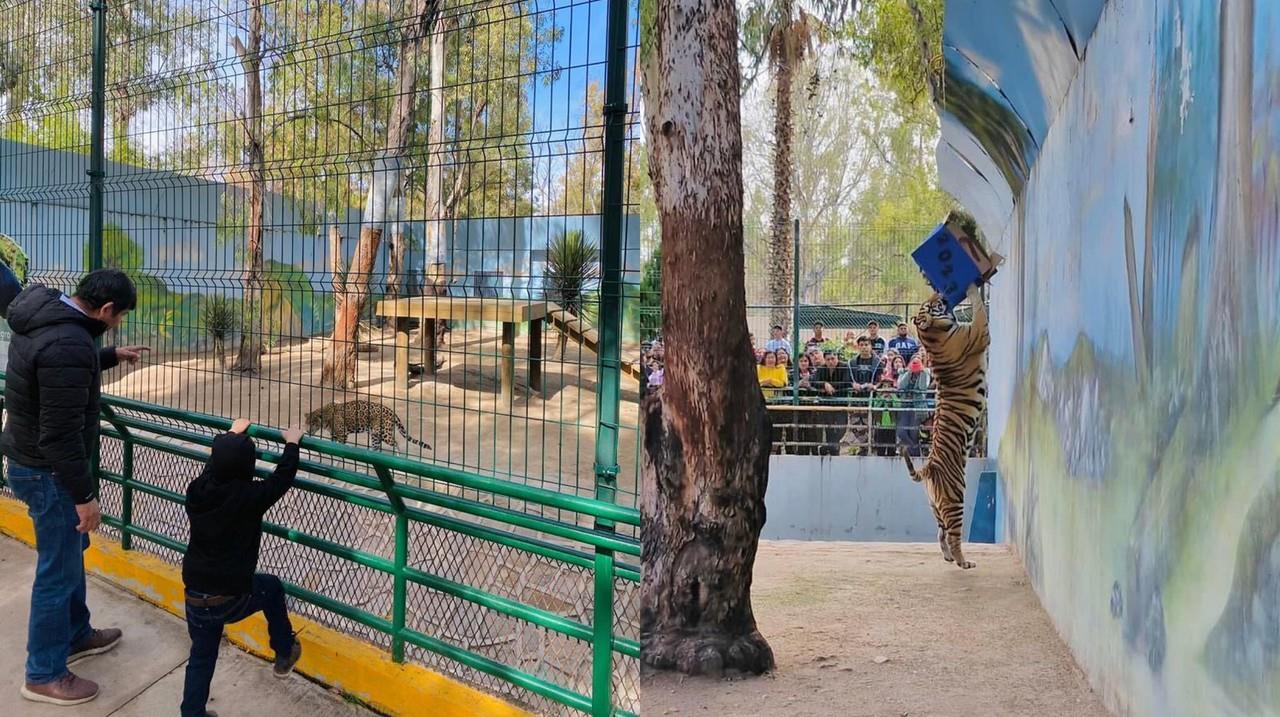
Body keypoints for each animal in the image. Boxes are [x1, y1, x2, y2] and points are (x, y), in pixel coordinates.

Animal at [901, 288, 988, 568]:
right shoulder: (978, 333)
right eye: (930, 305)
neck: (932, 335)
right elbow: (980, 309)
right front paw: (973, 288)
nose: (938, 292)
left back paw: (949, 558)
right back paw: (964, 562)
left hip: (936, 507)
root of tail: (928, 468)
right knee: (952, 535)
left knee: (940, 535)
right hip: (955, 499)